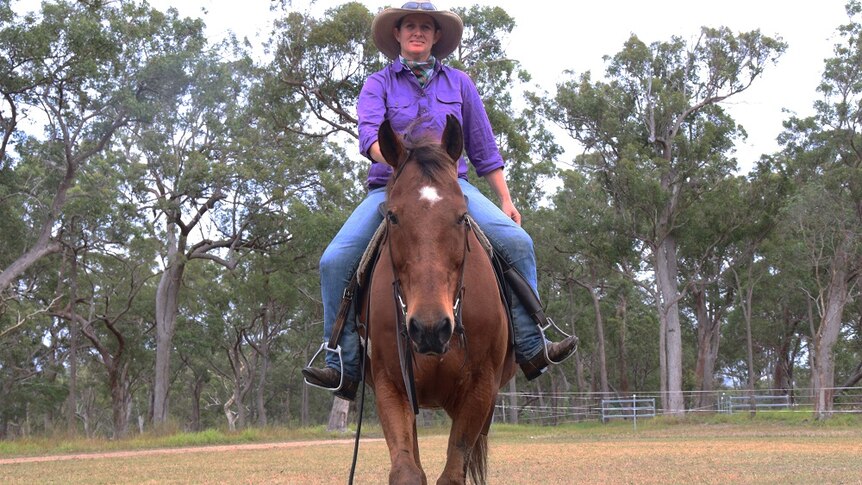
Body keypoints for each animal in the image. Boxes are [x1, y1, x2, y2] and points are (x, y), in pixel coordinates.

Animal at [362, 115, 516, 482]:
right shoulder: (391, 386)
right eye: (392, 216)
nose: (430, 328)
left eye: (462, 216)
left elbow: (453, 472)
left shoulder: (480, 389)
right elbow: (407, 471)